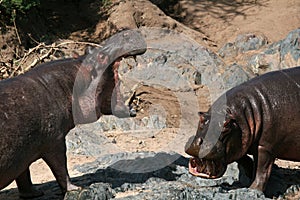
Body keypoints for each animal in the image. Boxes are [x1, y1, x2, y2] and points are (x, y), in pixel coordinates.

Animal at [0, 28, 146, 198]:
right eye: (101, 57)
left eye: (88, 49)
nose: (126, 33)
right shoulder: (55, 141)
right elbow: (61, 168)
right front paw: (75, 188)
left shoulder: (23, 152)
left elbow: (24, 174)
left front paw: (34, 193)